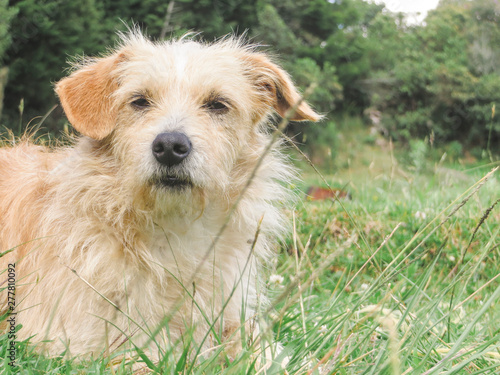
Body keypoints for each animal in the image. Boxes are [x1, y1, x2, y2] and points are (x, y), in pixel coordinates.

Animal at [0, 30, 320, 362]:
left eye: (218, 104)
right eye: (139, 101)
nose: (169, 146)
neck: (173, 226)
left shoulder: (232, 316)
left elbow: (274, 355)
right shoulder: (72, 337)